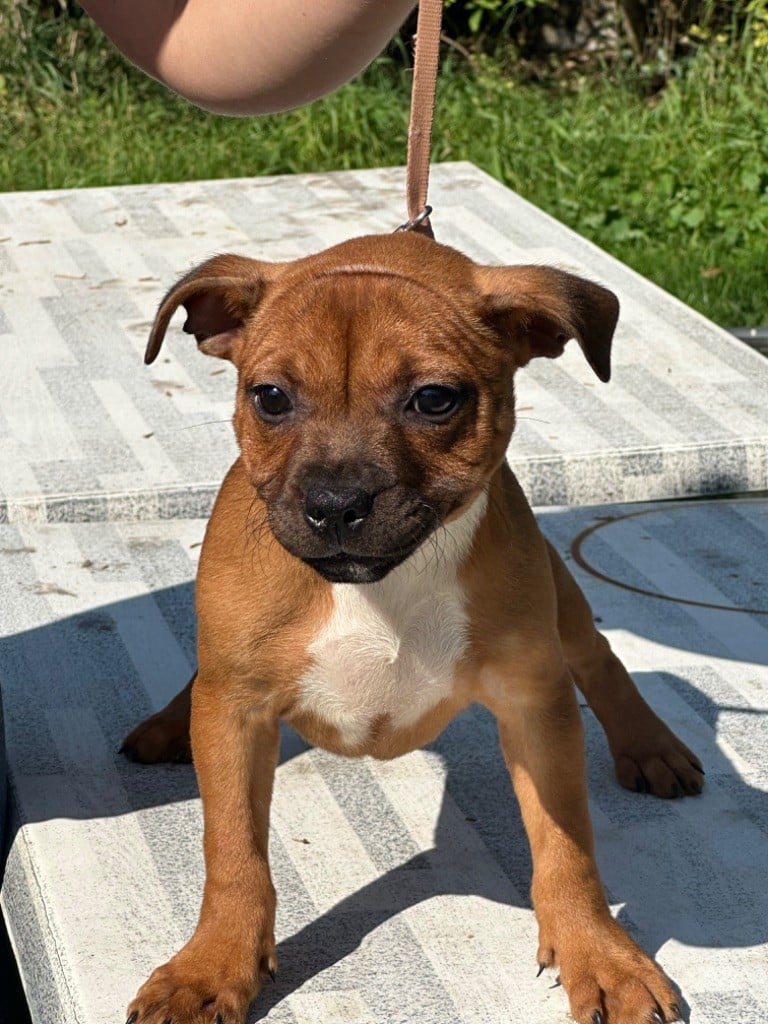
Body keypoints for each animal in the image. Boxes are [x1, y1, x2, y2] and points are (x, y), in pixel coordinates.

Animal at [124, 234, 704, 1024]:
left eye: (433, 400)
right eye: (270, 398)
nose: (335, 504)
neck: (380, 587)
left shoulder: (536, 705)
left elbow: (568, 846)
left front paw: (599, 953)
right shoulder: (237, 709)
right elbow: (234, 851)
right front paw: (212, 966)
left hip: (563, 611)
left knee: (601, 656)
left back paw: (651, 745)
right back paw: (166, 723)